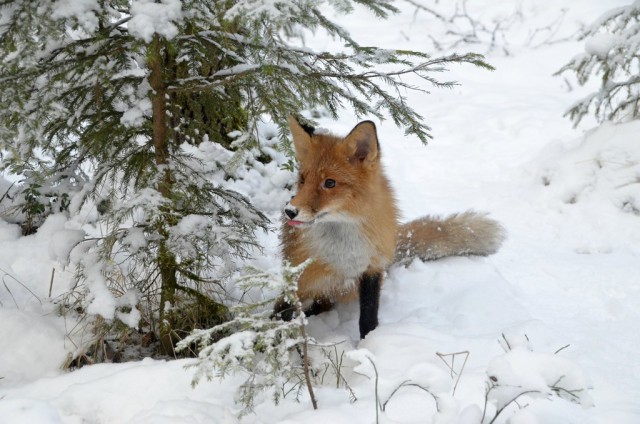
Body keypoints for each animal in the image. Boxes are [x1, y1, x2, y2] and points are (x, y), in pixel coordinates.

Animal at [276, 115, 504, 338]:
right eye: (303, 179)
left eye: (330, 183)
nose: (290, 211)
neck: (344, 253)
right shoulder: (298, 279)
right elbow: (280, 316)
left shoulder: (372, 267)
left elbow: (368, 316)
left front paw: (370, 343)